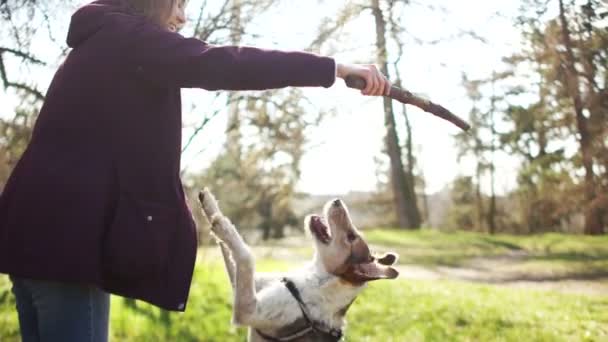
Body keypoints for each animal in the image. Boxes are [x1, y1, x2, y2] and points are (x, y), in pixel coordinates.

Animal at [198, 188, 400, 340]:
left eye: (351, 237)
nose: (337, 200)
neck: (319, 278)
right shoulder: (247, 283)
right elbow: (230, 249)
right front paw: (209, 202)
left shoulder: (249, 309)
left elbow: (246, 255)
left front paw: (222, 224)